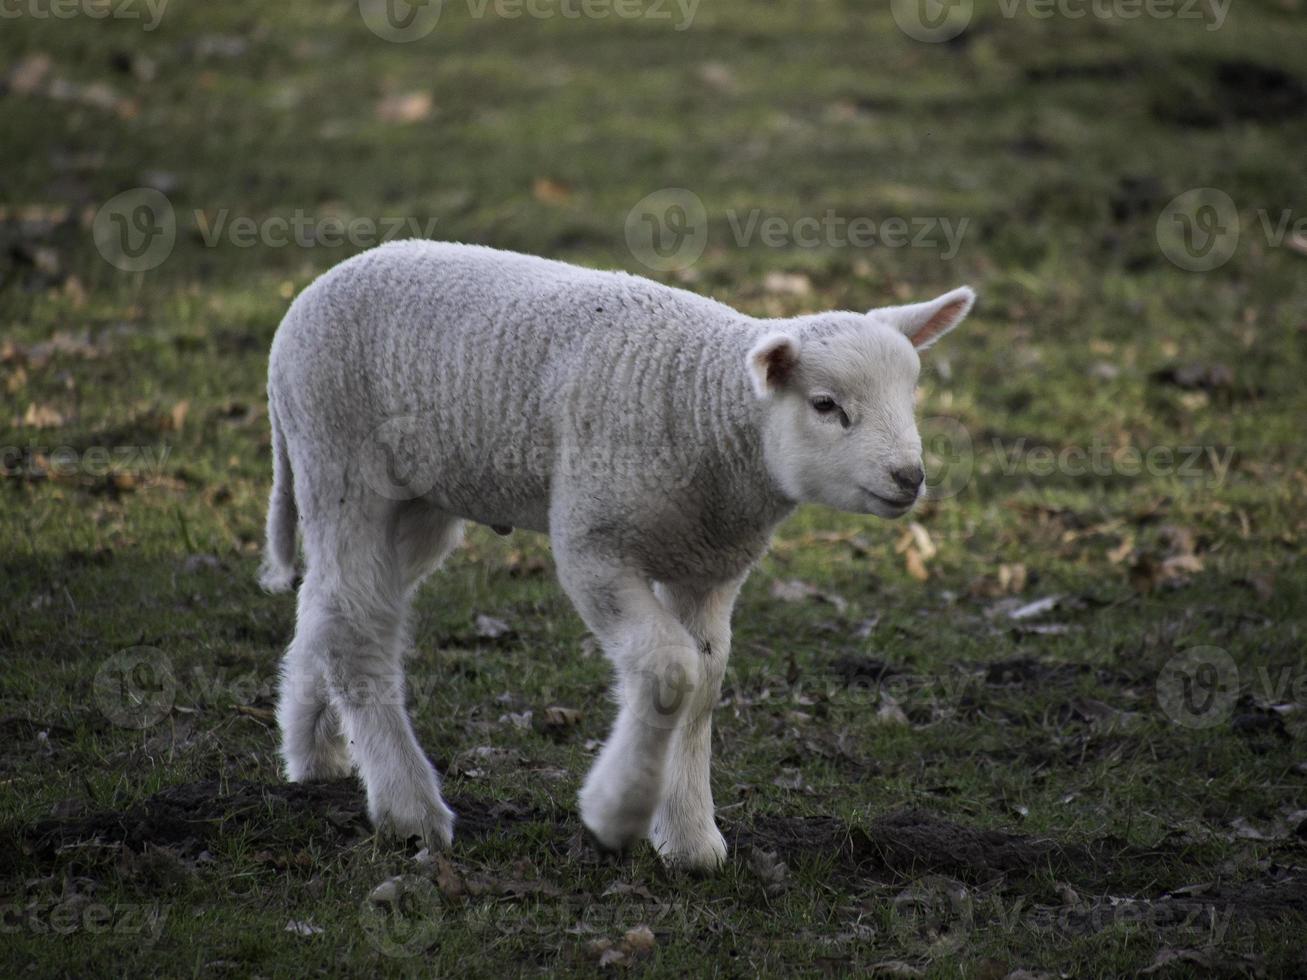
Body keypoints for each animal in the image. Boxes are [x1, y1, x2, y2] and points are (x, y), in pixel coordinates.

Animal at [257, 241, 972, 872]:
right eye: (826, 406)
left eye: (910, 399)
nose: (909, 477)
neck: (710, 410)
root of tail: (304, 302)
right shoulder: (593, 543)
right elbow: (669, 671)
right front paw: (618, 812)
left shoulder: (709, 567)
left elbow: (705, 681)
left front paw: (688, 838)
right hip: (342, 464)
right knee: (359, 627)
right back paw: (409, 809)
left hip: (417, 505)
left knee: (328, 605)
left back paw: (313, 754)